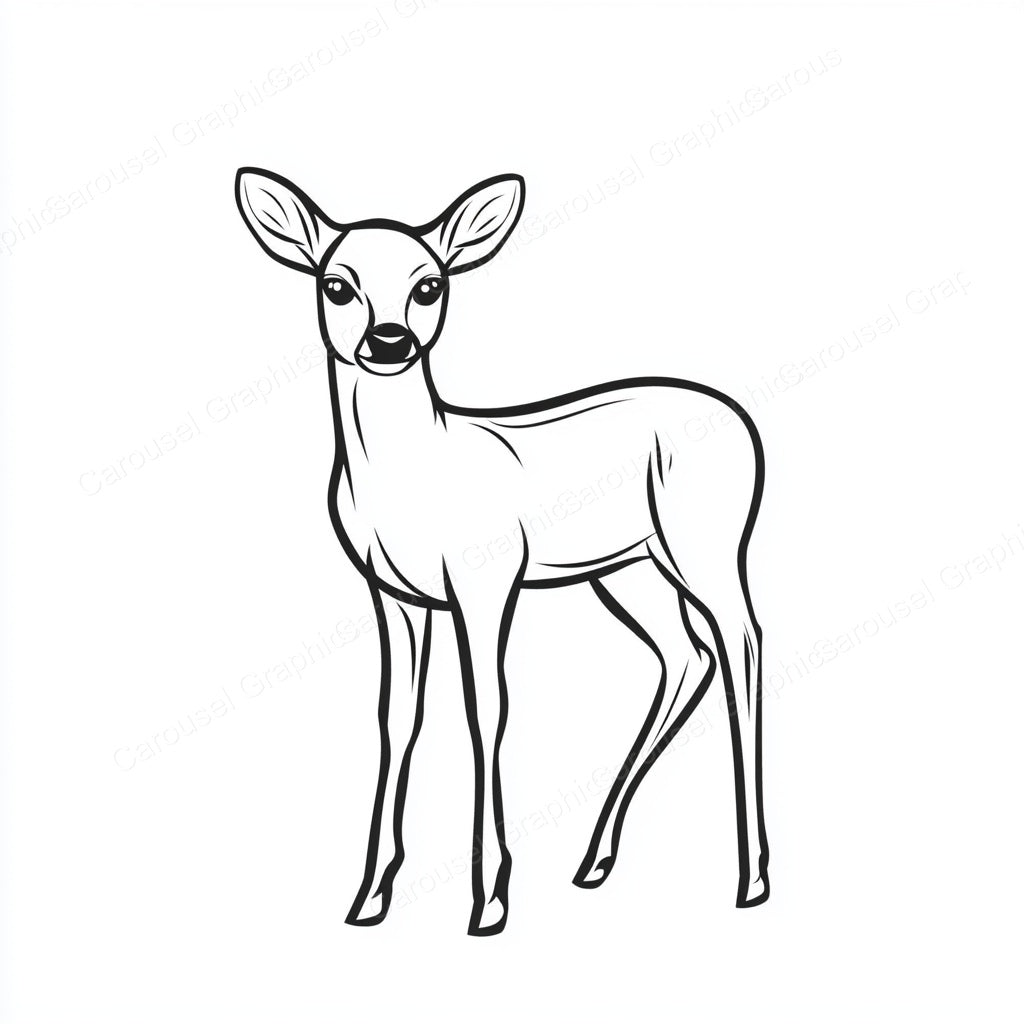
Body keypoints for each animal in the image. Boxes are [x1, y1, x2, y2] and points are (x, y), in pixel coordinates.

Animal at [234, 167, 769, 936]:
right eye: (336, 284)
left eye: (430, 284)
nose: (390, 341)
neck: (416, 475)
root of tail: (743, 422)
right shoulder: (393, 595)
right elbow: (396, 717)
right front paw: (370, 897)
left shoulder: (487, 579)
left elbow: (486, 709)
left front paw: (489, 900)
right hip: (626, 568)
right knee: (686, 655)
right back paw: (594, 860)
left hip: (709, 542)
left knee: (742, 644)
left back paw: (750, 877)